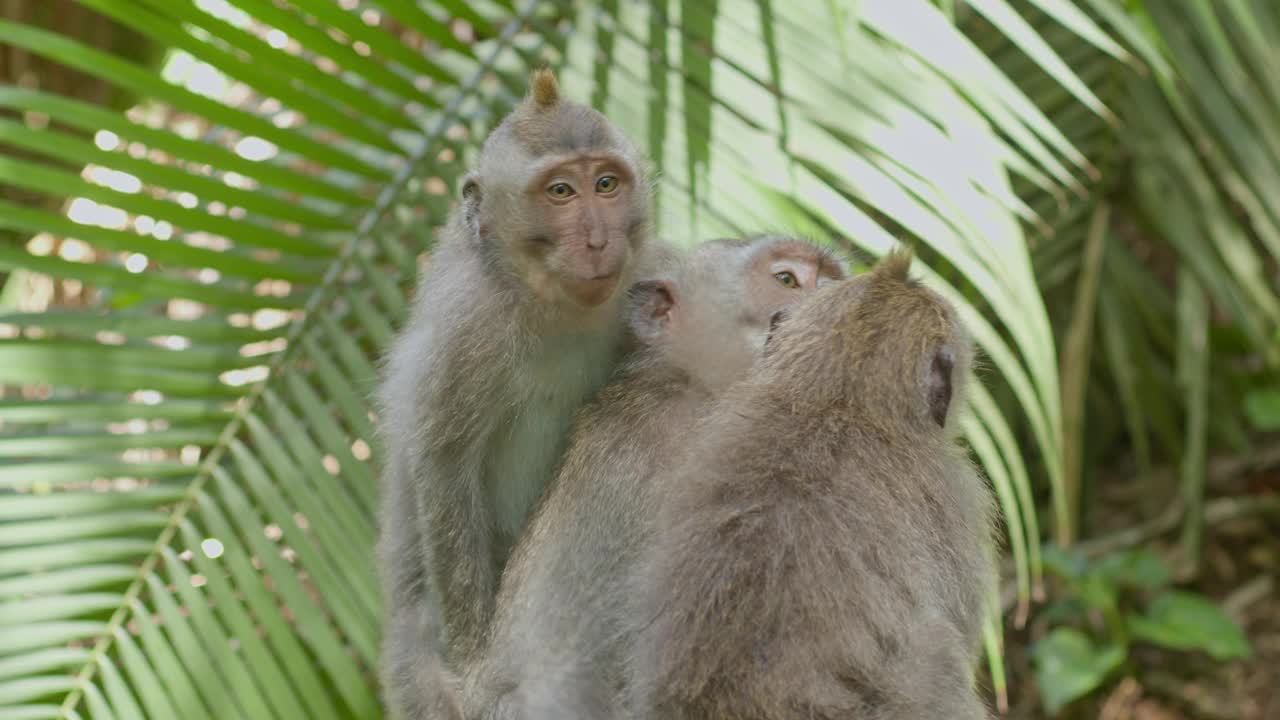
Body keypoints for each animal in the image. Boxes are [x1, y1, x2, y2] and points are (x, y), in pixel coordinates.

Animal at [373, 68, 665, 717]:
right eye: (560, 192)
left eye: (606, 184)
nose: (598, 238)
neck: (546, 303)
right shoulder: (467, 329)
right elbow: (445, 469)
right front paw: (474, 661)